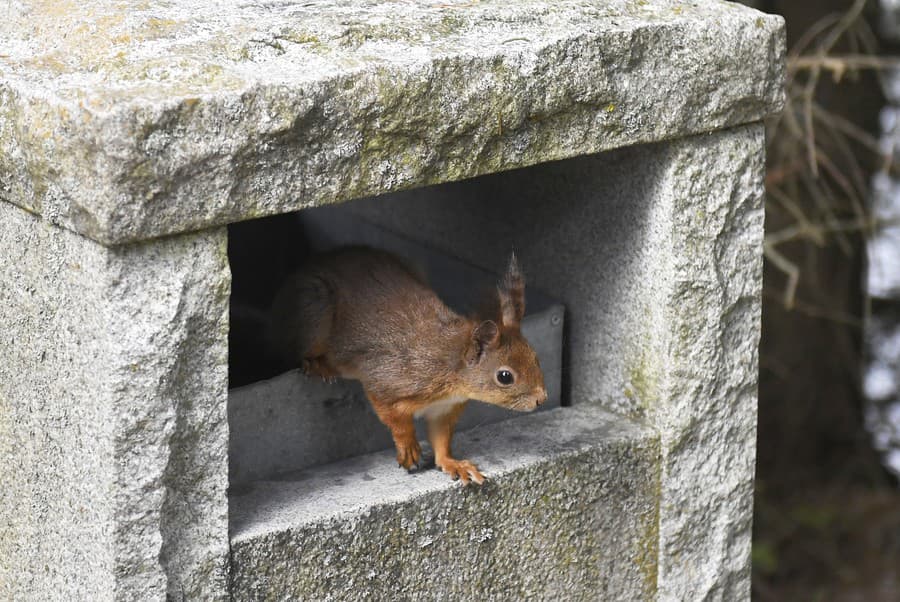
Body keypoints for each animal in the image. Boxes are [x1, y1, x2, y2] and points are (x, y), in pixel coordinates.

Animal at [266, 244, 548, 482]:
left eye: (535, 357)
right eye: (505, 376)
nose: (541, 399)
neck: (450, 370)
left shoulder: (444, 409)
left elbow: (441, 438)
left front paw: (453, 463)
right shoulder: (388, 380)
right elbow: (393, 417)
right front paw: (408, 447)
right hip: (313, 309)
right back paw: (318, 365)